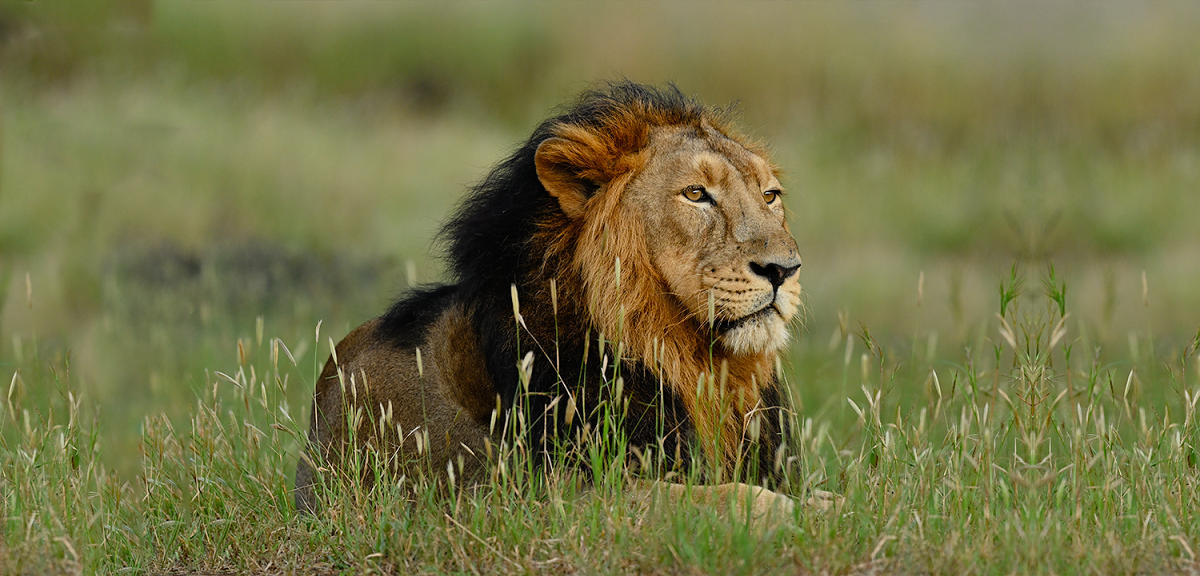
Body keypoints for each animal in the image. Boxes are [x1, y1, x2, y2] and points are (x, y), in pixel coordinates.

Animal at [295, 82, 830, 523]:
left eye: (770, 195)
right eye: (696, 193)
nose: (784, 269)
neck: (687, 359)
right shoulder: (548, 494)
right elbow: (718, 497)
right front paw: (794, 513)